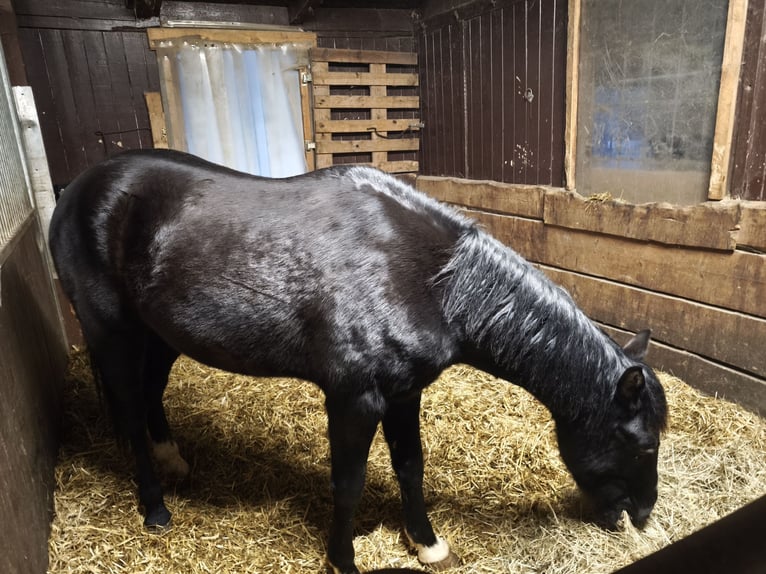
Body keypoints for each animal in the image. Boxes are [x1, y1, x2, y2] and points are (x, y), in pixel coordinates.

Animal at [49, 149, 667, 574]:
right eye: (643, 445)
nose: (641, 516)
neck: (430, 279)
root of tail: (76, 191)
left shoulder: (405, 393)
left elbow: (410, 466)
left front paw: (427, 543)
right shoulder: (354, 399)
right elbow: (348, 481)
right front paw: (343, 559)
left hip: (159, 335)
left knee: (151, 394)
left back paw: (173, 461)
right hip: (112, 332)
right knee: (130, 411)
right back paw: (155, 509)